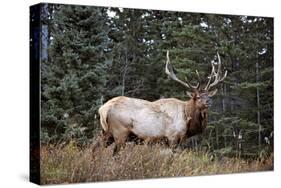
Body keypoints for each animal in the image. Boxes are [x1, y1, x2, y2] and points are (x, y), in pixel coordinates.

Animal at [97, 50, 226, 153]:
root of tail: (103, 109)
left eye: (208, 95)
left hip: (106, 133)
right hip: (120, 132)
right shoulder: (172, 137)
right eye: (198, 97)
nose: (209, 101)